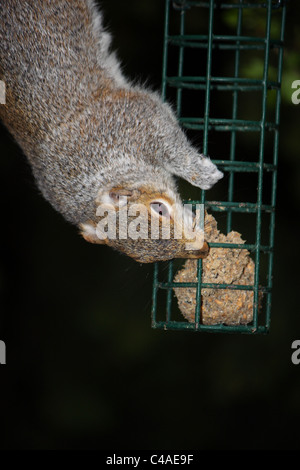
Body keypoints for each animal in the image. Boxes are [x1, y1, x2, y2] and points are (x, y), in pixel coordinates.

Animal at [0, 0, 223, 262]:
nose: (203, 249)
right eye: (142, 259)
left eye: (159, 208)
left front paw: (203, 174)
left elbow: (172, 147)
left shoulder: (133, 118)